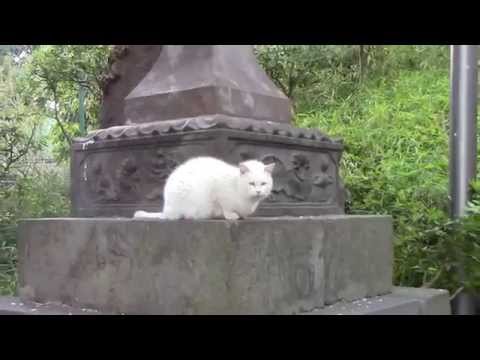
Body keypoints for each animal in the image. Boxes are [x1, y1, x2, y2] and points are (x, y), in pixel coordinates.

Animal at [133, 157, 276, 221]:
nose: (258, 191)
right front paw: (231, 216)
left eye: (263, 184)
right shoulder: (218, 192)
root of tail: (166, 211)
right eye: (251, 184)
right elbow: (226, 208)